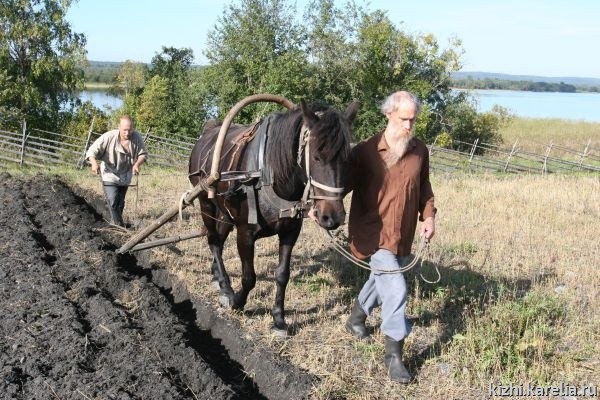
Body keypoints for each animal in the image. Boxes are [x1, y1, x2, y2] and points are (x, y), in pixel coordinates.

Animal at [188, 98, 358, 335]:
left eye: (348, 159)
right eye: (316, 156)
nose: (332, 217)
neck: (267, 173)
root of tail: (208, 133)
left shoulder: (290, 232)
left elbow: (282, 275)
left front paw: (278, 319)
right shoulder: (245, 233)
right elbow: (249, 277)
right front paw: (237, 302)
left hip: (224, 212)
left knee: (219, 242)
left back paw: (218, 280)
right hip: (206, 203)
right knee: (213, 241)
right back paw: (226, 286)